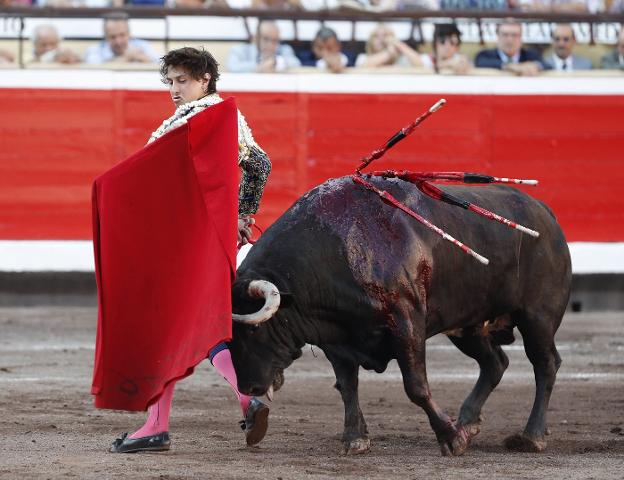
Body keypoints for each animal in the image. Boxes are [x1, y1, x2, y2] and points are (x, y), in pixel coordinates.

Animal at [228, 174, 572, 456]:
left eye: (254, 330)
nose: (248, 387)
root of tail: (545, 212)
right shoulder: (337, 340)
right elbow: (347, 386)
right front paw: (355, 438)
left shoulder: (406, 323)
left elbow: (416, 387)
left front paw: (450, 440)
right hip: (468, 326)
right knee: (495, 363)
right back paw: (466, 422)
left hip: (537, 317)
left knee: (545, 364)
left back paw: (530, 437)